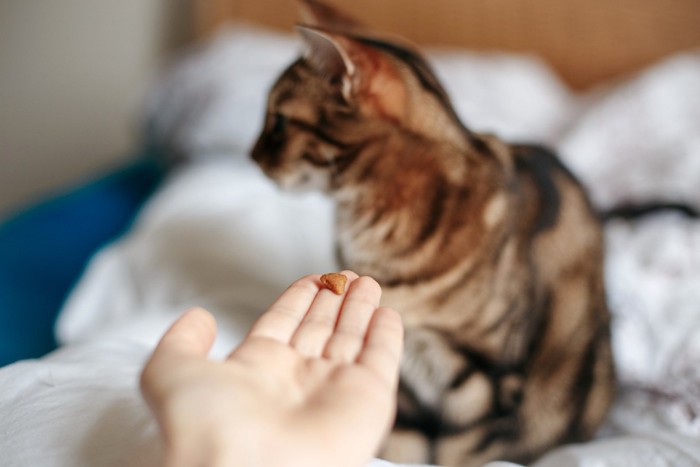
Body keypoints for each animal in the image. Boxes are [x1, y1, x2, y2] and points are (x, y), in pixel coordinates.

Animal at [252, 1, 612, 466]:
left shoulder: (486, 379)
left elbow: (465, 450)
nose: (251, 155)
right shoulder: (401, 380)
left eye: (278, 122)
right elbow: (399, 441)